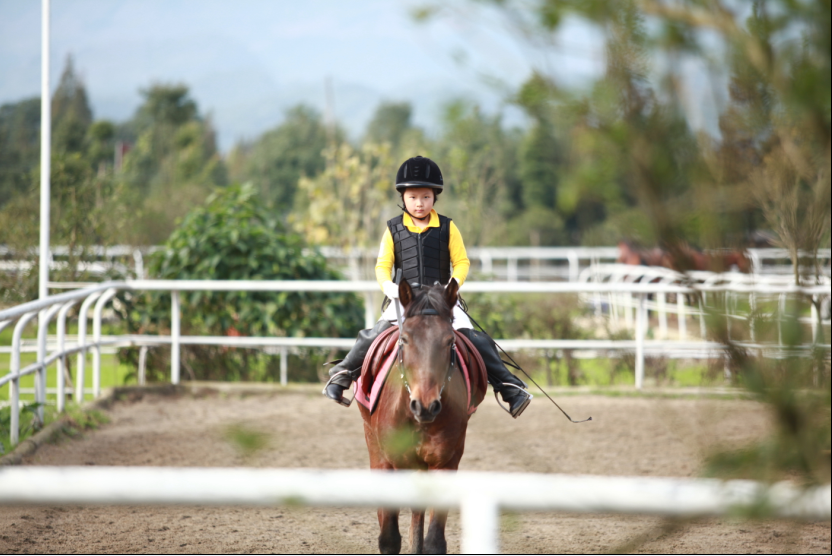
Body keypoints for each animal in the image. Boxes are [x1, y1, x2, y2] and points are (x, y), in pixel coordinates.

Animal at [360, 280, 478, 552]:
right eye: (404, 339)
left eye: (449, 340)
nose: (425, 406)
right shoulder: (392, 461)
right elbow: (389, 537)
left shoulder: (445, 463)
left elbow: (434, 540)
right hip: (375, 446)